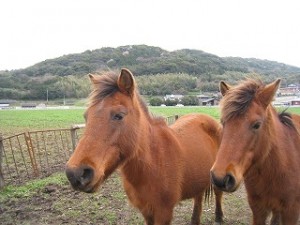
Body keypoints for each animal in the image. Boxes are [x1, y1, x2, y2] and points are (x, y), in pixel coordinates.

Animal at [65, 69, 224, 225]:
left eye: (119, 115)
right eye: (86, 116)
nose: (76, 173)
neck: (153, 162)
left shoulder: (164, 212)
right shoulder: (146, 211)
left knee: (218, 193)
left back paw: (219, 217)